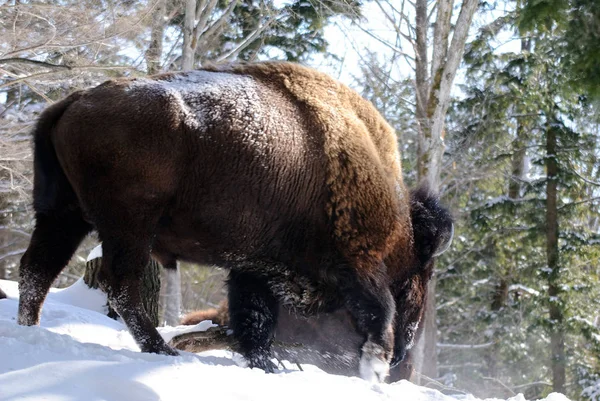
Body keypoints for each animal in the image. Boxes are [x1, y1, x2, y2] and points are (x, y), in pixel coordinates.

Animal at [16, 62, 452, 382]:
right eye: (424, 271)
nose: (404, 355)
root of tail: (72, 102)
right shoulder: (357, 262)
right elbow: (378, 308)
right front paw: (373, 368)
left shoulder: (256, 269)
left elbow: (255, 319)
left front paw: (269, 366)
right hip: (129, 224)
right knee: (120, 284)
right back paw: (161, 350)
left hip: (64, 215)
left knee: (37, 269)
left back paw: (29, 330)